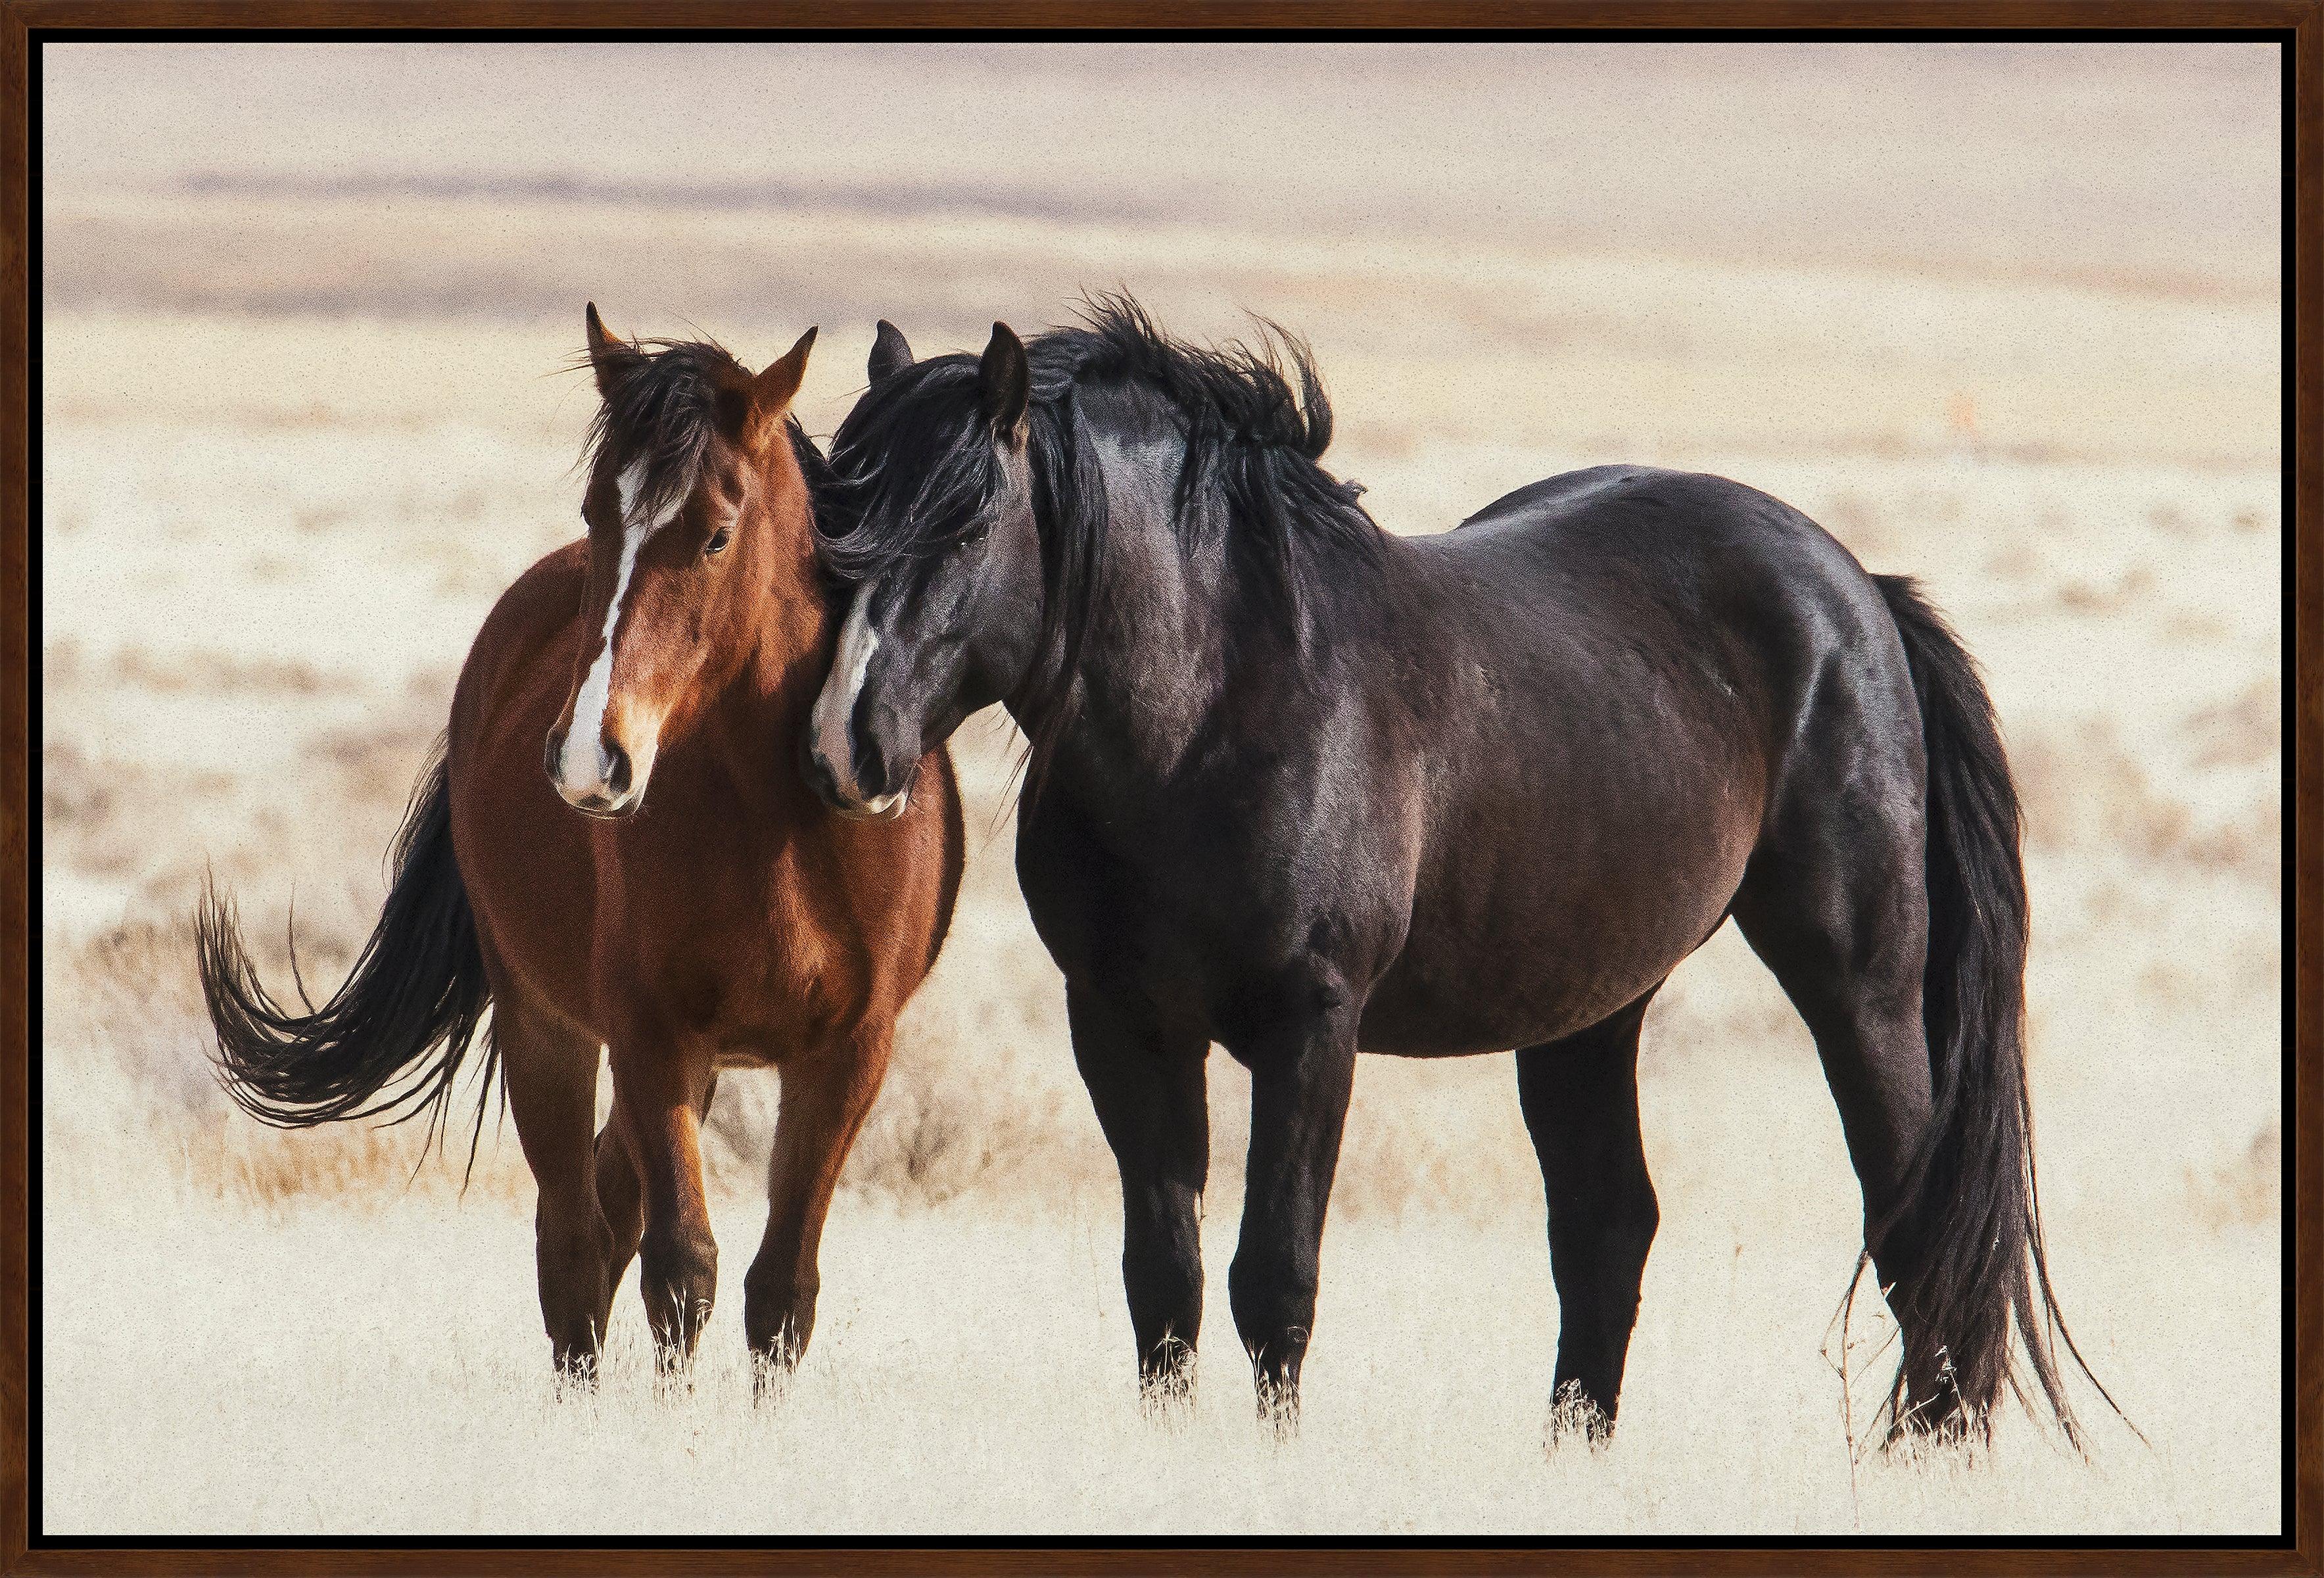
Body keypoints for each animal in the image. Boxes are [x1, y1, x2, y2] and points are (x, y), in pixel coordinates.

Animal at [198, 308, 965, 1382]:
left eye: (716, 533)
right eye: (599, 514)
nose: (587, 759)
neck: (784, 824)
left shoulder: (847, 1055)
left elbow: (782, 1291)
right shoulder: (649, 1037)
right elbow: (682, 1270)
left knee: (607, 1219)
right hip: (546, 1030)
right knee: (573, 1242)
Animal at [802, 298, 2117, 1447]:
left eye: (965, 522)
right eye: (830, 519)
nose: (838, 746)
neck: (1214, 702)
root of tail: (1859, 593)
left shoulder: (1310, 1023)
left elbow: (1272, 1276)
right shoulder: (1123, 1026)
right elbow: (1162, 1278)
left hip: (1860, 983)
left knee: (1916, 1218)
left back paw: (1932, 1449)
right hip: (1589, 1010)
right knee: (1607, 1226)